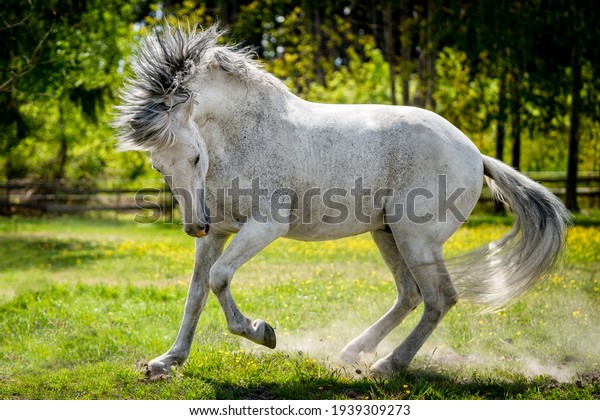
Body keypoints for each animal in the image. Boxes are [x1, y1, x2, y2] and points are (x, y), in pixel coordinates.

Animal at [115, 24, 568, 378]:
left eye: (194, 156)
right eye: (158, 164)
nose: (194, 225)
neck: (242, 135)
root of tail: (475, 153)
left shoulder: (266, 225)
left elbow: (219, 278)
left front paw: (262, 333)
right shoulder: (219, 233)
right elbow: (196, 293)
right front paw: (167, 361)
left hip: (416, 238)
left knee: (440, 299)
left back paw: (387, 365)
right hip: (387, 234)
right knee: (411, 295)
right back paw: (353, 353)